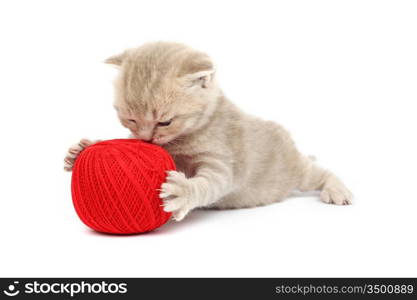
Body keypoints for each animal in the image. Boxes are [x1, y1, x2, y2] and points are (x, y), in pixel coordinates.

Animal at [64, 41, 352, 220]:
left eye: (165, 122)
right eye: (130, 119)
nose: (146, 138)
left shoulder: (222, 162)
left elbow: (210, 183)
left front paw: (183, 192)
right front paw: (82, 149)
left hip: (295, 171)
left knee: (320, 172)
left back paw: (338, 192)